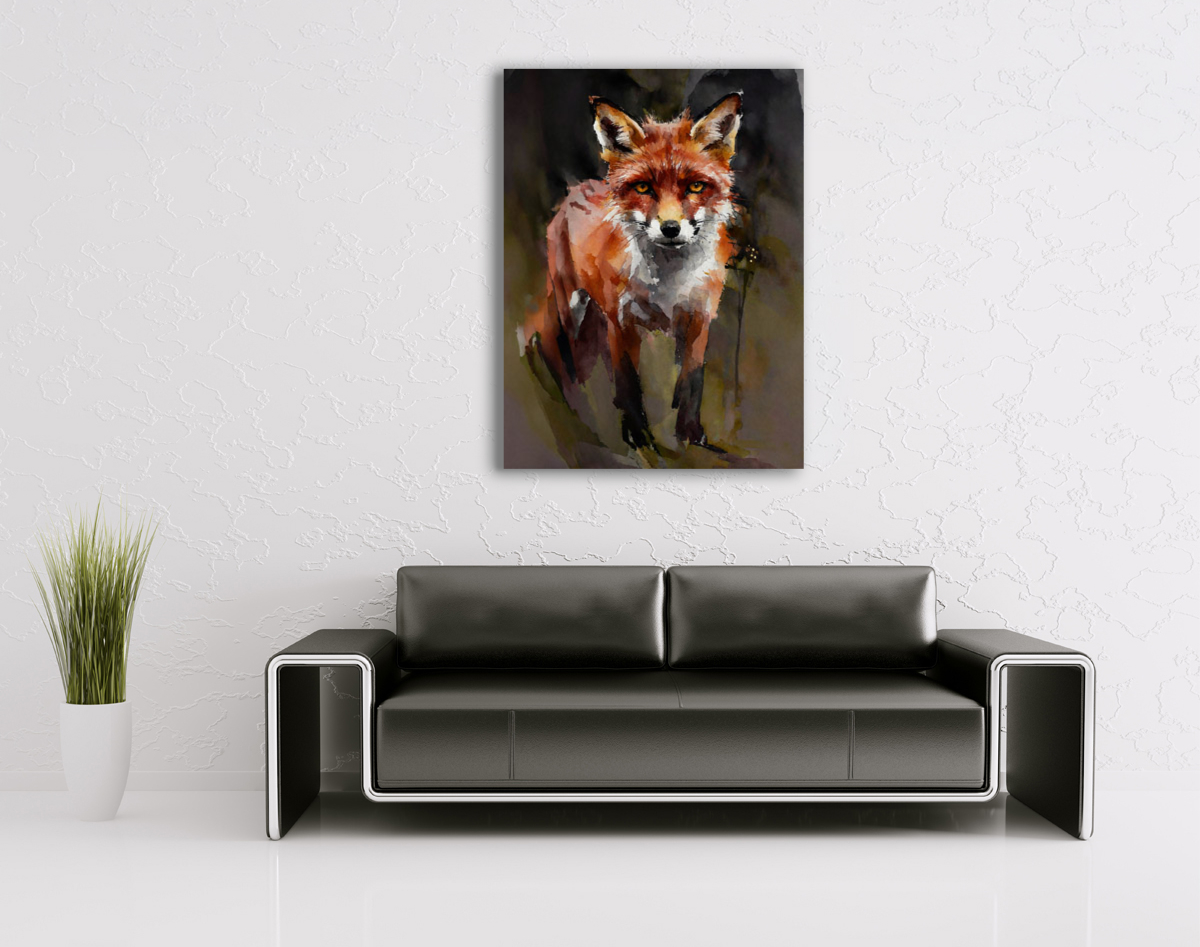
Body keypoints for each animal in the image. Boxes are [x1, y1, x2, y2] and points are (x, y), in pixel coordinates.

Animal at [520, 92, 743, 451]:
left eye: (696, 187)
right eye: (642, 188)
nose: (670, 228)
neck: (668, 281)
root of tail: (576, 188)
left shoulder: (699, 318)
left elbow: (691, 380)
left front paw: (689, 432)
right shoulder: (621, 322)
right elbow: (628, 381)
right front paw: (637, 435)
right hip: (571, 306)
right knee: (564, 348)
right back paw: (570, 394)